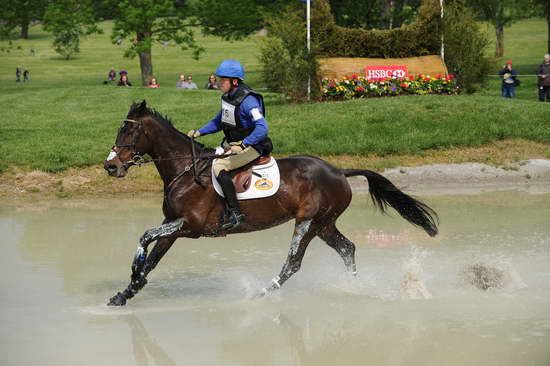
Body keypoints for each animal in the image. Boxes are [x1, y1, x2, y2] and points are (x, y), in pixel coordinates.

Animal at [104, 101, 440, 306]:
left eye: (129, 131)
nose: (110, 166)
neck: (185, 170)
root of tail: (338, 171)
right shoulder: (173, 226)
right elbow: (153, 256)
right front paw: (125, 292)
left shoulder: (191, 226)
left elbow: (145, 237)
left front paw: (133, 272)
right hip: (324, 224)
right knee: (347, 248)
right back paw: (355, 287)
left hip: (308, 222)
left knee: (293, 262)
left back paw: (261, 293)